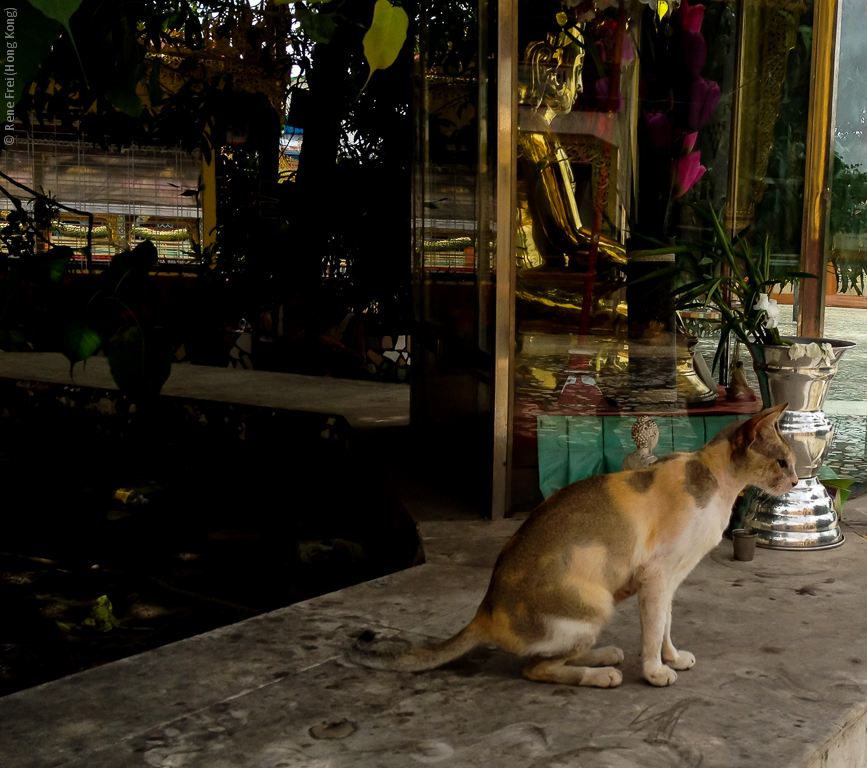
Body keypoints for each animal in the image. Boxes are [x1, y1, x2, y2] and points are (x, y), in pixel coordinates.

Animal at [350, 404, 796, 688]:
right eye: (783, 462)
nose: (796, 481)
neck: (719, 486)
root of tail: (484, 612)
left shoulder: (669, 581)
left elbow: (666, 626)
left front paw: (671, 658)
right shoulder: (657, 577)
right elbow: (653, 631)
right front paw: (655, 671)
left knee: (555, 656)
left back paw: (603, 656)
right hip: (596, 604)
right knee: (537, 667)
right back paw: (601, 674)